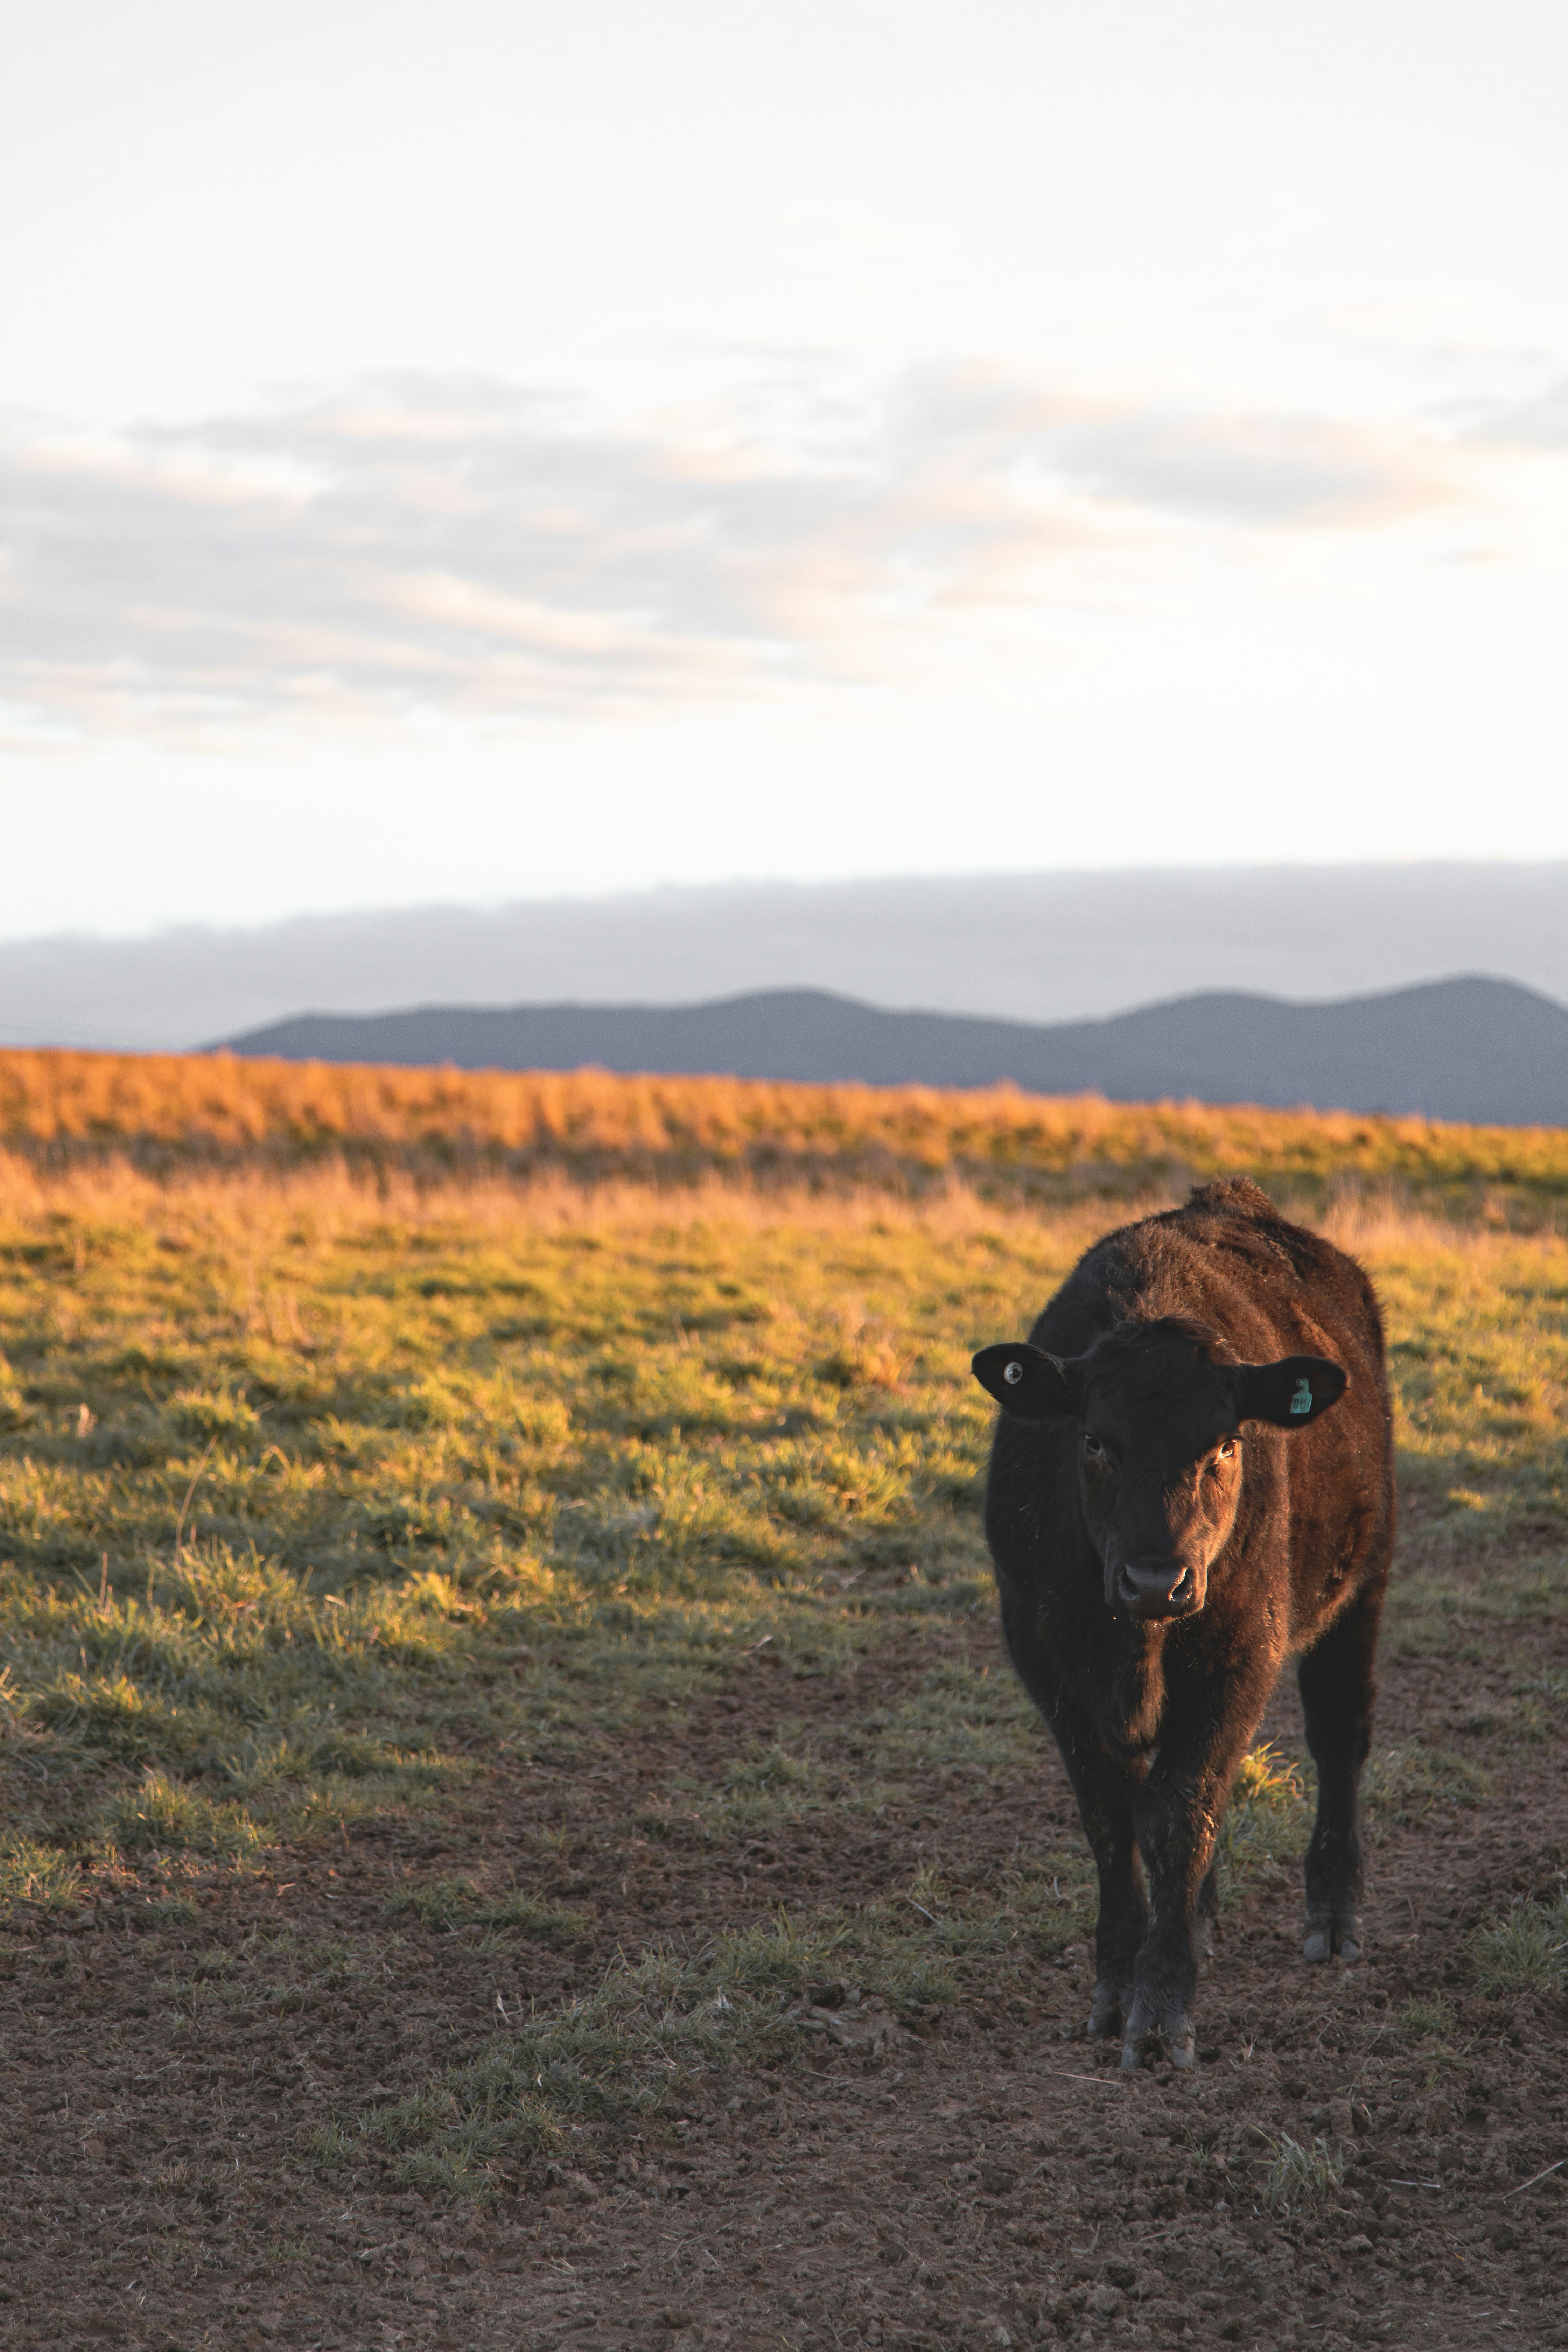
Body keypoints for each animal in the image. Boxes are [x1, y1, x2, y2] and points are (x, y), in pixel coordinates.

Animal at [971, 1177, 1394, 2071]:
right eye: (1094, 1441)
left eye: (1227, 1446)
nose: (1155, 1580)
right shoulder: (1045, 1653)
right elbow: (1111, 1816)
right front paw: (1116, 1982)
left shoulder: (1241, 1650)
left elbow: (1176, 1813)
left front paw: (1162, 2007)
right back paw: (1198, 1918)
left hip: (1364, 1577)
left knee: (1338, 1733)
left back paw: (1333, 1913)